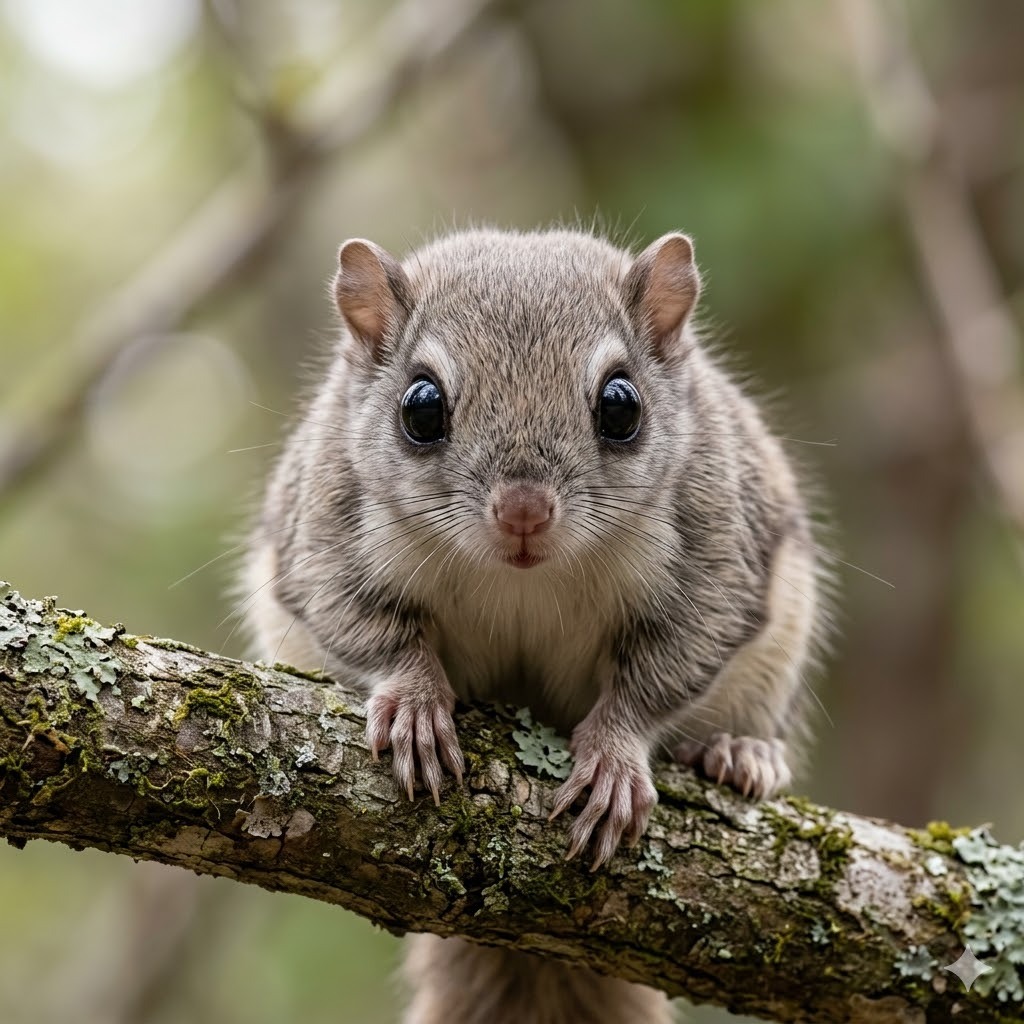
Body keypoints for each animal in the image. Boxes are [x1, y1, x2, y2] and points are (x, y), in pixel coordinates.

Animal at [242, 227, 823, 1024]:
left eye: (621, 405)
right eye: (421, 407)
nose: (524, 511)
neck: (524, 579)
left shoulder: (714, 555)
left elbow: (663, 671)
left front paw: (613, 756)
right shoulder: (325, 532)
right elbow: (364, 624)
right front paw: (416, 703)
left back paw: (740, 752)